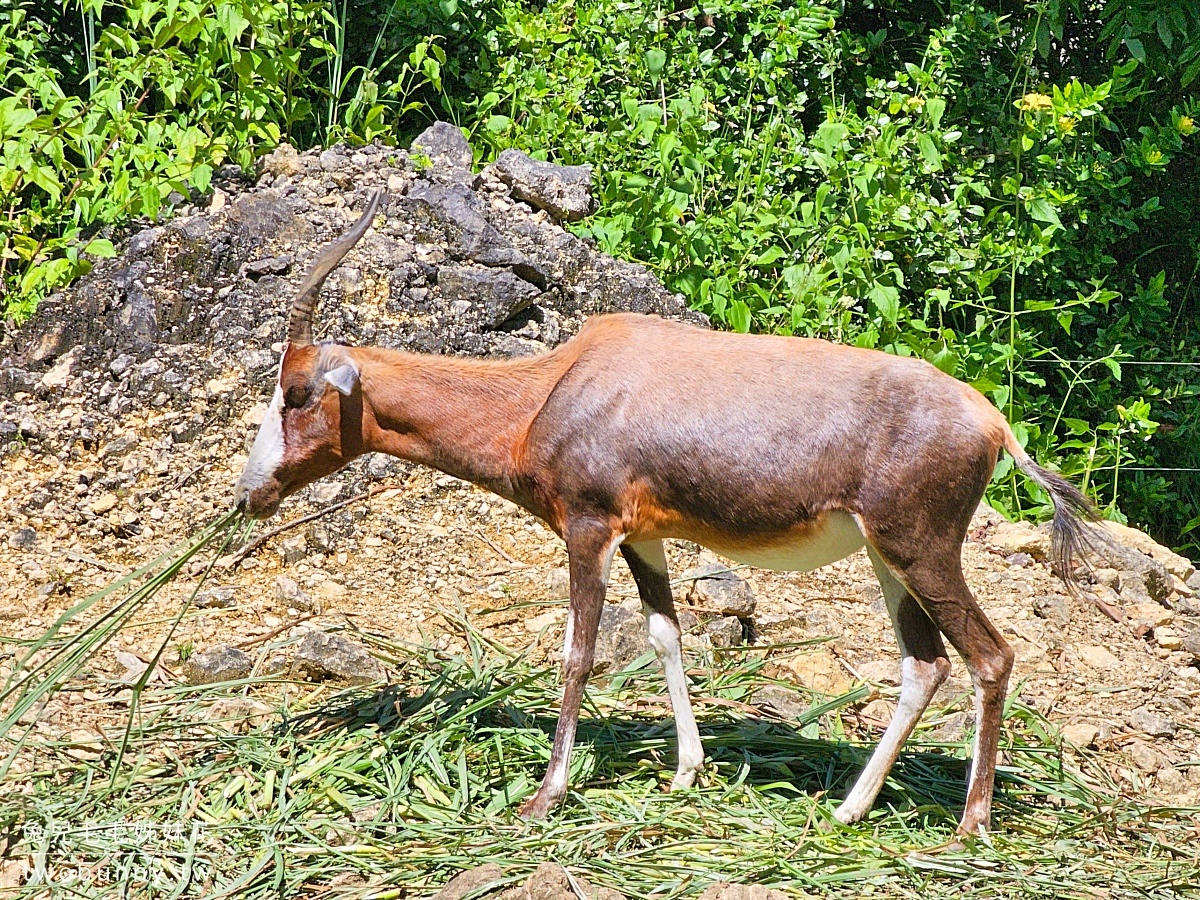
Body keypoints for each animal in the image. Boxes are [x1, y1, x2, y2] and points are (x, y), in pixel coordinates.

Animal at [234, 192, 1099, 840]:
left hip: (921, 550)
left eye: (298, 393)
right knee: (926, 664)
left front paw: (545, 797)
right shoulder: (643, 538)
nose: (250, 494)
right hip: (890, 561)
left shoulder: (588, 531)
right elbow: (664, 637)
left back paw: (969, 826)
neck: (558, 384)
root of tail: (992, 422)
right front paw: (686, 772)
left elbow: (578, 655)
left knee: (991, 657)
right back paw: (848, 810)